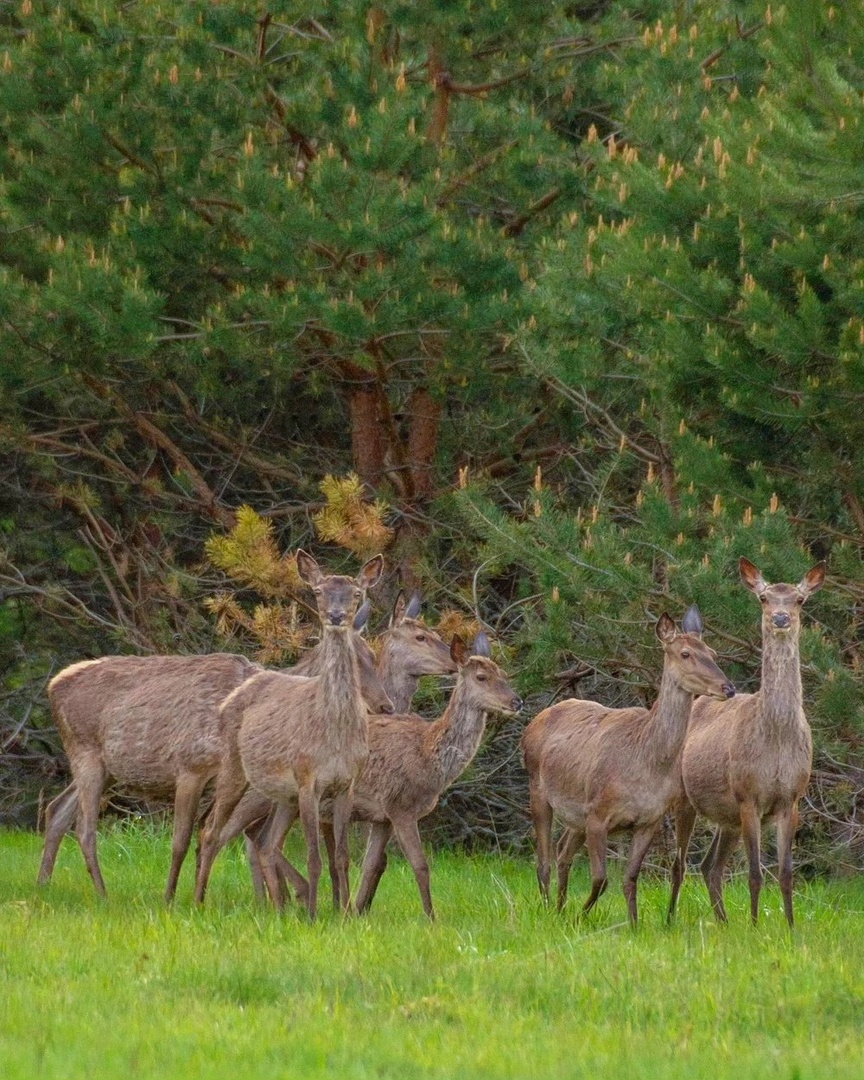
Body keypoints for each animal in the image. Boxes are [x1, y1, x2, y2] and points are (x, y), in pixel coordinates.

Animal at [38, 596, 390, 898]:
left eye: (374, 657)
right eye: (353, 661)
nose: (386, 705)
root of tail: (53, 685)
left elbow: (215, 837)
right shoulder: (190, 766)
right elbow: (183, 840)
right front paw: (172, 899)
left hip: (104, 767)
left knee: (57, 810)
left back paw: (43, 885)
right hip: (86, 753)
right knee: (84, 827)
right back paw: (102, 894)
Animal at [197, 548, 386, 920]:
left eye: (356, 593)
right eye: (319, 592)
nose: (336, 616)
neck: (334, 731)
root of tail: (232, 697)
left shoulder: (347, 784)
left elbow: (341, 857)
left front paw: (344, 916)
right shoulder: (307, 777)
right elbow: (314, 857)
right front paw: (313, 917)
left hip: (281, 794)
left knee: (267, 843)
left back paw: (280, 910)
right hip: (236, 767)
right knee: (212, 830)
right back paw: (196, 901)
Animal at [520, 613, 734, 924]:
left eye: (713, 653)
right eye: (685, 654)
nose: (728, 687)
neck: (645, 764)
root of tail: (531, 725)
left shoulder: (649, 819)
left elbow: (630, 878)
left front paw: (634, 924)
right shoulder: (598, 814)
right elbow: (601, 879)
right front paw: (581, 916)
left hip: (576, 814)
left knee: (562, 852)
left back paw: (560, 908)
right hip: (538, 790)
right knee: (543, 860)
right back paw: (549, 909)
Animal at [665, 557, 825, 928]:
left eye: (799, 599)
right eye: (764, 598)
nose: (780, 618)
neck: (776, 739)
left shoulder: (791, 798)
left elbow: (786, 874)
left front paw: (791, 928)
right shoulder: (748, 794)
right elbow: (755, 874)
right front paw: (754, 927)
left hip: (728, 816)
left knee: (709, 866)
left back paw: (723, 923)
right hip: (686, 797)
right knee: (680, 864)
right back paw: (670, 920)